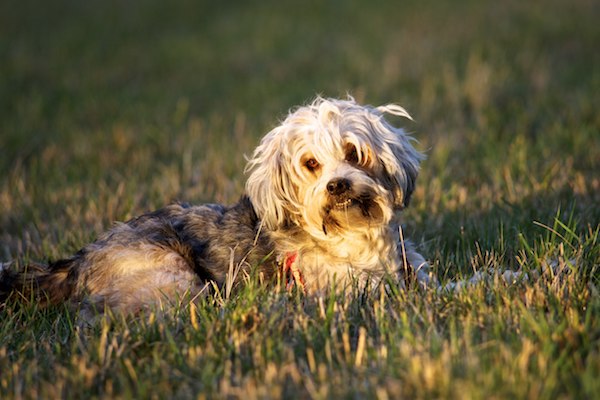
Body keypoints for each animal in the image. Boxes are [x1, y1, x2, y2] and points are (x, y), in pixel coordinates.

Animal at [0, 95, 432, 318]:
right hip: (176, 280)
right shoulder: (350, 289)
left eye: (354, 153)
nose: (337, 185)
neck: (351, 234)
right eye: (311, 164)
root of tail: (76, 262)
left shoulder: (411, 269)